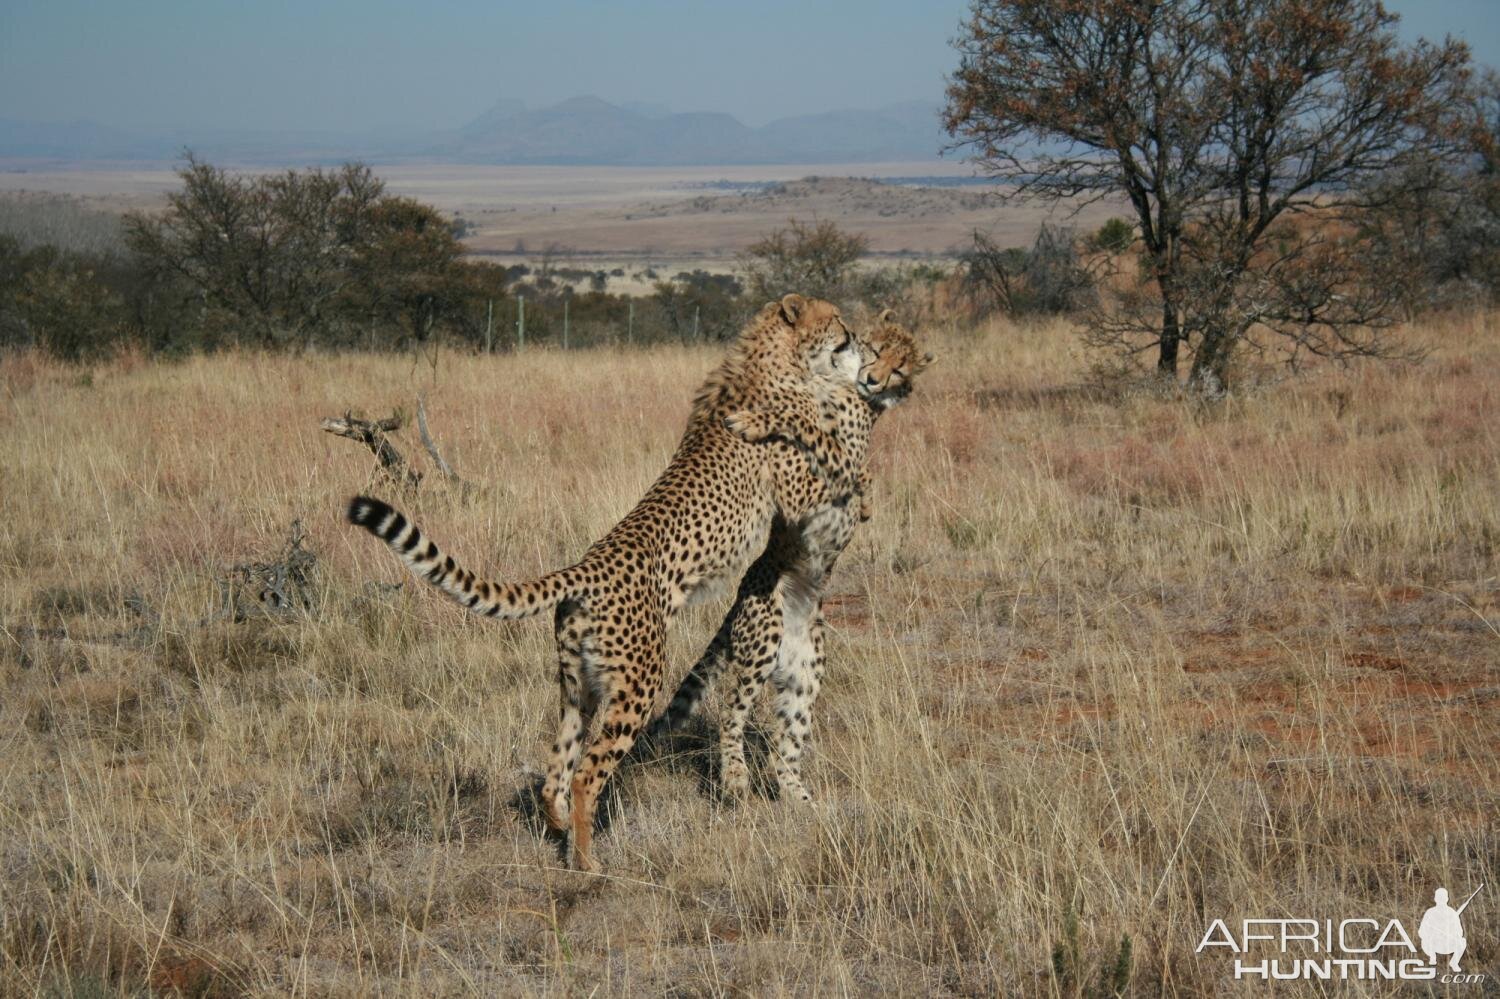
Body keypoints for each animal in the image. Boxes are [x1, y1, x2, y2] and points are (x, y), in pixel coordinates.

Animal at [346, 294, 870, 864]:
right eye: (834, 318)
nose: (853, 333)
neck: (781, 360)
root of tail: (584, 567)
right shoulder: (799, 495)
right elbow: (828, 448)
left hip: (579, 686)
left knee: (556, 767)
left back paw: (559, 829)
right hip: (639, 682)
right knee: (587, 773)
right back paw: (588, 860)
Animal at [654, 312, 930, 804]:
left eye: (900, 369)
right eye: (877, 351)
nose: (873, 379)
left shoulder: (825, 465)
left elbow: (805, 425)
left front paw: (752, 419)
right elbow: (802, 418)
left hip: (799, 666)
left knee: (760, 728)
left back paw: (774, 791)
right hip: (771, 646)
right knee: (747, 717)